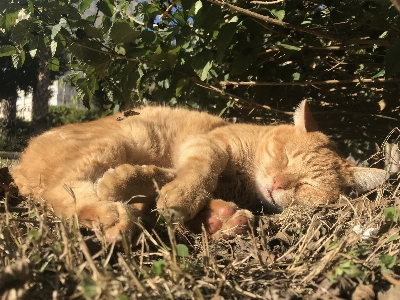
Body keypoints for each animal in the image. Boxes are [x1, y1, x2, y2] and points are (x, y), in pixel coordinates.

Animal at [11, 102, 388, 243]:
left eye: (308, 184)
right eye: (285, 157)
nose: (278, 183)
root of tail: (18, 166)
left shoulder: (190, 158)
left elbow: (161, 177)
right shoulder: (209, 145)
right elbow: (200, 171)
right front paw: (180, 195)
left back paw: (222, 219)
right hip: (116, 142)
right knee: (62, 192)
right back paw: (112, 215)